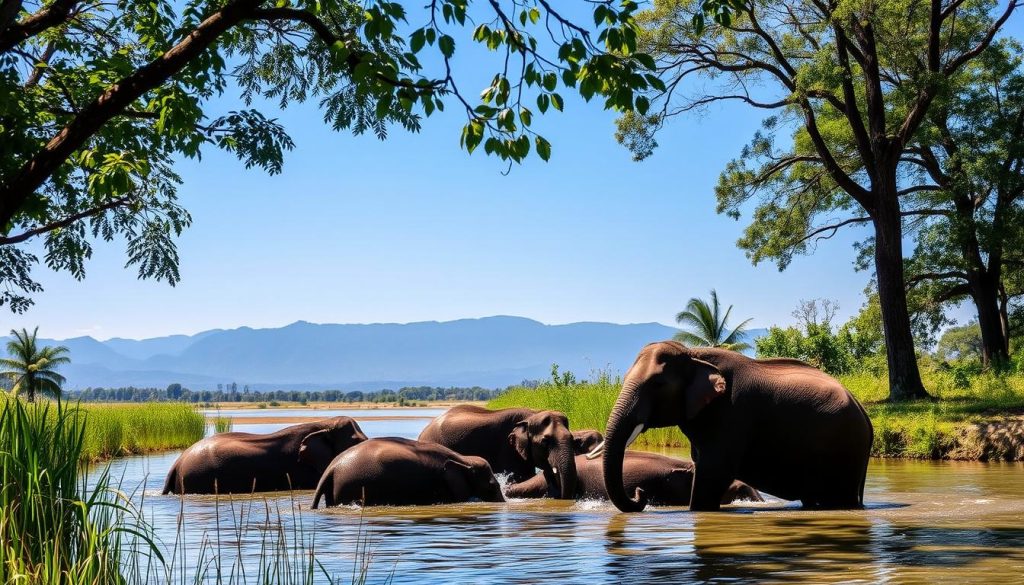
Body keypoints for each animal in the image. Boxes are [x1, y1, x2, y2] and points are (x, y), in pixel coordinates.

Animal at [596, 342, 873, 512]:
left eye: (658, 384)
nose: (639, 493)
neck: (693, 354)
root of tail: (865, 414)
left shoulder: (732, 413)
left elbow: (714, 471)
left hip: (844, 452)